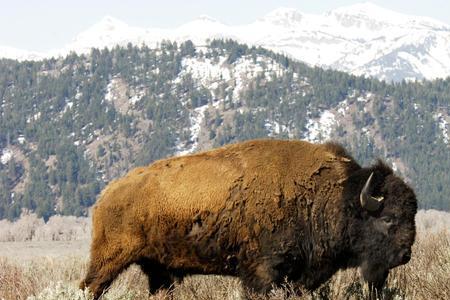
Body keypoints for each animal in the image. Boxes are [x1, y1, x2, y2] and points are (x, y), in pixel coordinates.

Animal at [79, 139, 416, 298]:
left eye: (412, 215)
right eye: (389, 219)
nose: (405, 255)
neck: (331, 195)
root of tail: (108, 194)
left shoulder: (299, 277)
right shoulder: (262, 273)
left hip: (161, 271)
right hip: (110, 258)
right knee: (90, 286)